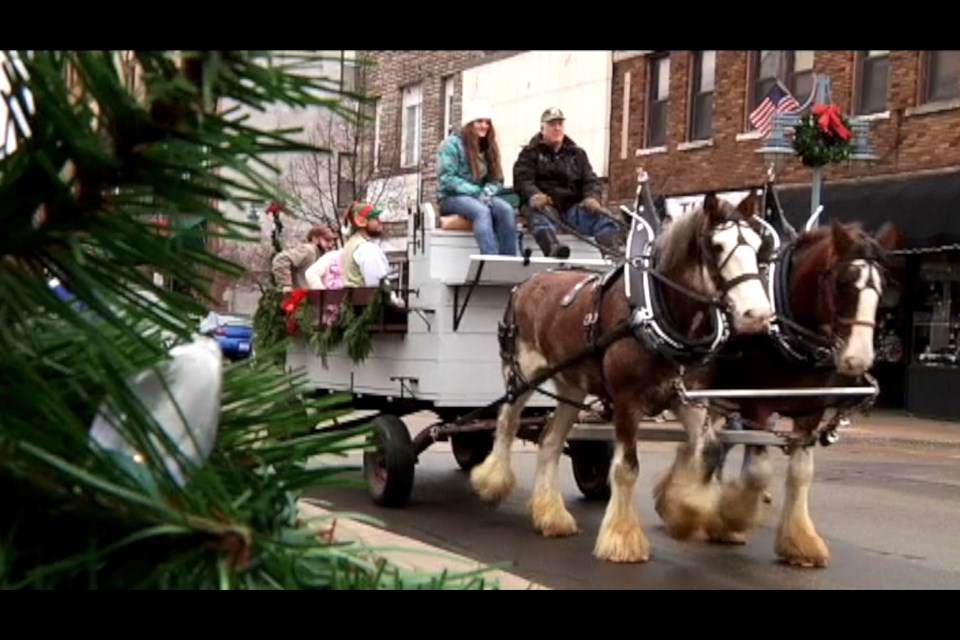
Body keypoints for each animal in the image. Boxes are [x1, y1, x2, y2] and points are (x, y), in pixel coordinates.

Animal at [468, 189, 776, 560]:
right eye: (716, 246)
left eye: (758, 246)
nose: (758, 314)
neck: (657, 313)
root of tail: (527, 282)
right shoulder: (628, 401)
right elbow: (627, 468)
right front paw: (622, 539)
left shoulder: (688, 400)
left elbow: (710, 452)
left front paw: (686, 512)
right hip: (521, 375)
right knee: (507, 420)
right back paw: (492, 482)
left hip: (571, 386)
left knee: (550, 441)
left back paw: (551, 516)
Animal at [652, 214, 900, 564]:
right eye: (843, 283)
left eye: (882, 288)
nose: (858, 359)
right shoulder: (757, 405)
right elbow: (757, 472)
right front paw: (732, 516)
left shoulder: (810, 410)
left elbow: (801, 472)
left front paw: (800, 543)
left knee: (706, 445)